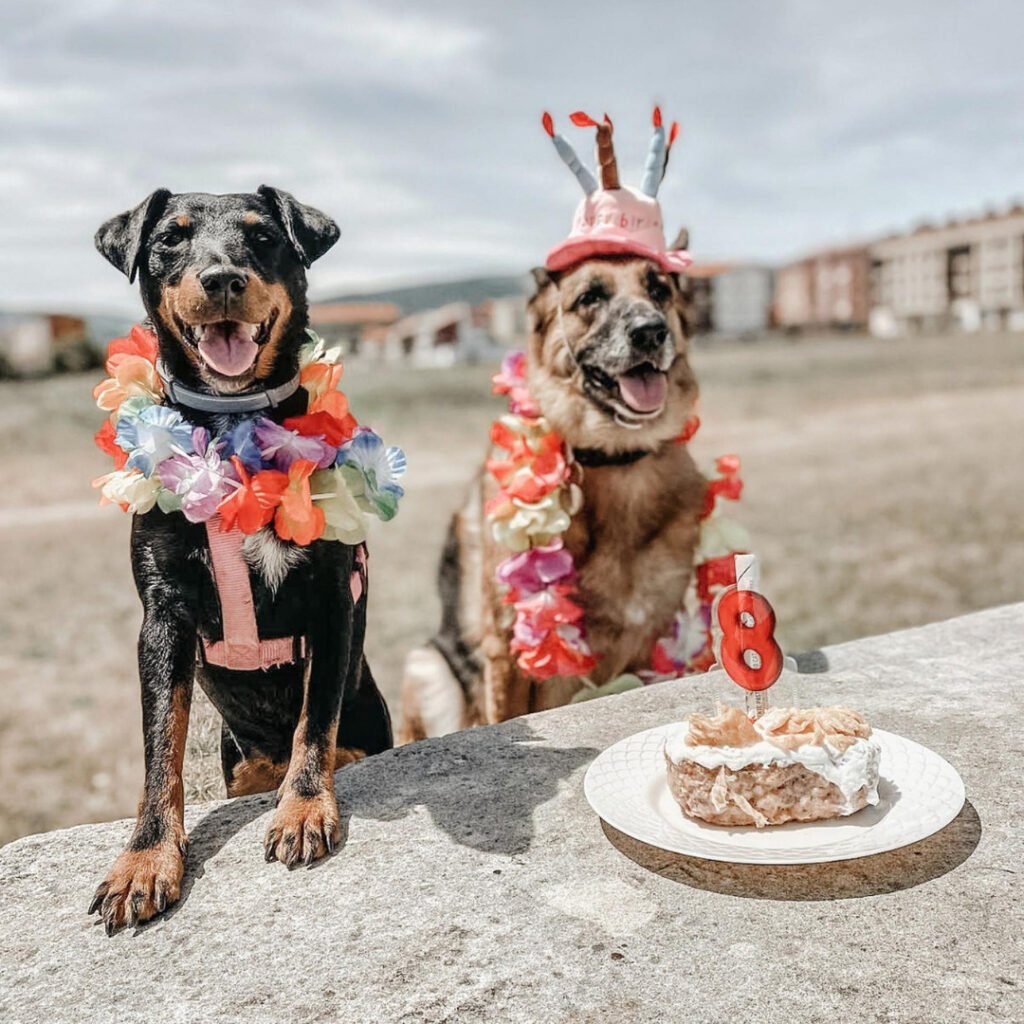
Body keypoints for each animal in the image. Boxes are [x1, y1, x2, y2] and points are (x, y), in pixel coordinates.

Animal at [90, 188, 391, 933]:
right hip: (238, 761)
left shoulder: (331, 600)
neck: (232, 427)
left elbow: (315, 719)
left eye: (262, 237)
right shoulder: (162, 616)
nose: (222, 278)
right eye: (170, 238)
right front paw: (145, 859)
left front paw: (304, 808)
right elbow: (160, 749)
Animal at [399, 251, 704, 741]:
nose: (650, 331)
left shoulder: (649, 645)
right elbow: (506, 717)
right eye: (590, 297)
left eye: (658, 289)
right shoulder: (506, 652)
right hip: (427, 664)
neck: (616, 461)